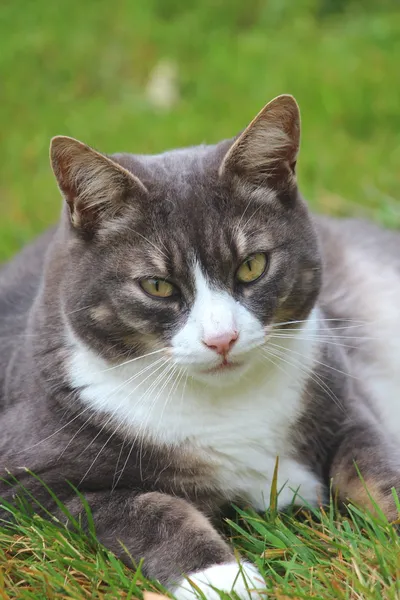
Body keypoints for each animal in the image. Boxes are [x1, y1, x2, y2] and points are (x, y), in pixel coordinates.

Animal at [0, 95, 400, 600]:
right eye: (157, 286)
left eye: (252, 266)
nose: (221, 338)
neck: (226, 403)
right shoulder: (28, 484)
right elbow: (142, 510)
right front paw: (222, 576)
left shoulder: (348, 403)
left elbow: (374, 464)